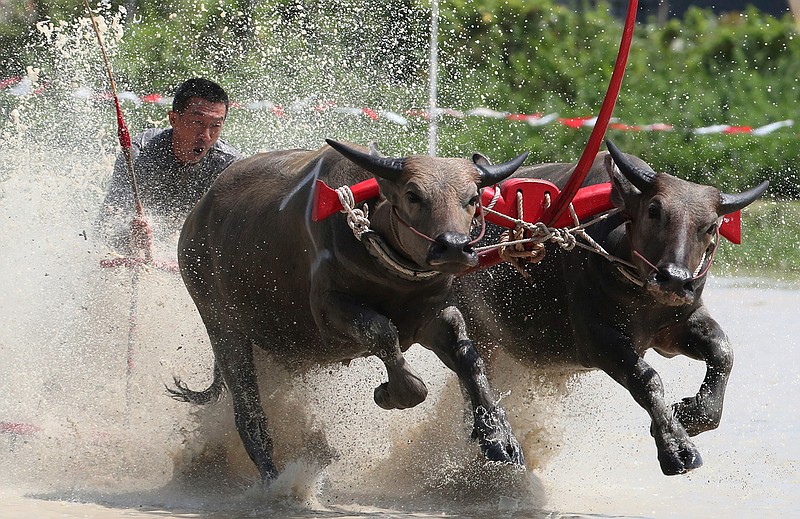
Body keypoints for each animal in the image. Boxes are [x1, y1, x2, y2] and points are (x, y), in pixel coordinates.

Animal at [172, 140, 528, 482]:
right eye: (413, 195)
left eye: (472, 198)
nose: (454, 246)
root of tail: (194, 222)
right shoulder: (330, 313)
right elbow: (385, 335)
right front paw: (389, 393)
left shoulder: (435, 314)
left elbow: (469, 358)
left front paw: (500, 440)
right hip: (222, 325)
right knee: (249, 414)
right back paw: (274, 480)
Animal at [456, 141, 768, 476]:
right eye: (654, 210)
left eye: (710, 226)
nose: (674, 279)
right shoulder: (597, 340)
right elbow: (646, 378)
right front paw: (677, 448)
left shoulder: (677, 326)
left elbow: (722, 352)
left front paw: (689, 413)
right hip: (475, 329)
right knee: (472, 373)